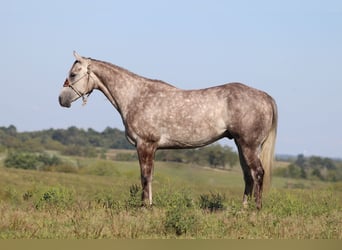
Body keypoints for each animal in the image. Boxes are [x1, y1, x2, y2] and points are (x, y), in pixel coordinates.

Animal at [58, 51, 278, 209]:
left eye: (73, 74)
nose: (61, 100)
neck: (136, 96)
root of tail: (265, 96)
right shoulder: (151, 147)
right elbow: (150, 176)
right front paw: (149, 204)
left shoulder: (145, 144)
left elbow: (145, 176)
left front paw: (144, 207)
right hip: (243, 146)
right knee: (248, 175)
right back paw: (243, 209)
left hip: (248, 145)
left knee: (258, 173)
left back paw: (256, 209)